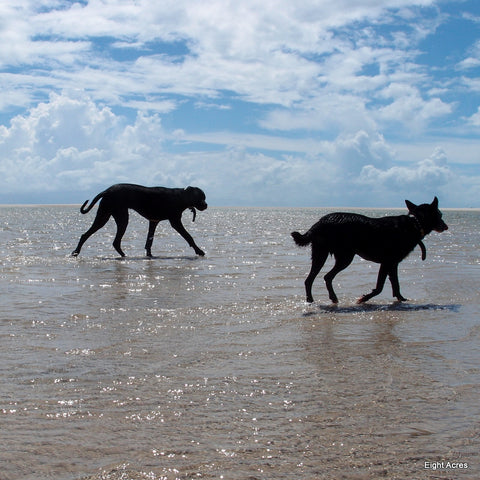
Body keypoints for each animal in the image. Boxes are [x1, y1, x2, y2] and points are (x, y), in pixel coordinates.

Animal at [71, 185, 206, 258]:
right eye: (201, 197)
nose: (206, 205)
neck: (181, 196)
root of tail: (107, 190)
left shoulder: (153, 222)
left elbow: (149, 241)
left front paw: (149, 254)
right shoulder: (175, 221)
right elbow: (188, 237)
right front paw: (199, 251)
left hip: (112, 216)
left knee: (114, 241)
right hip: (113, 217)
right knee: (88, 235)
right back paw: (76, 252)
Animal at [290, 198, 448, 304]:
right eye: (440, 214)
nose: (446, 226)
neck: (415, 223)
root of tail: (319, 222)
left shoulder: (393, 264)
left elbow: (395, 284)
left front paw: (401, 299)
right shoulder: (387, 263)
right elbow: (380, 287)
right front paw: (363, 298)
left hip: (330, 256)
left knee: (321, 278)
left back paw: (330, 298)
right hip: (339, 257)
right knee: (315, 278)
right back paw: (312, 300)